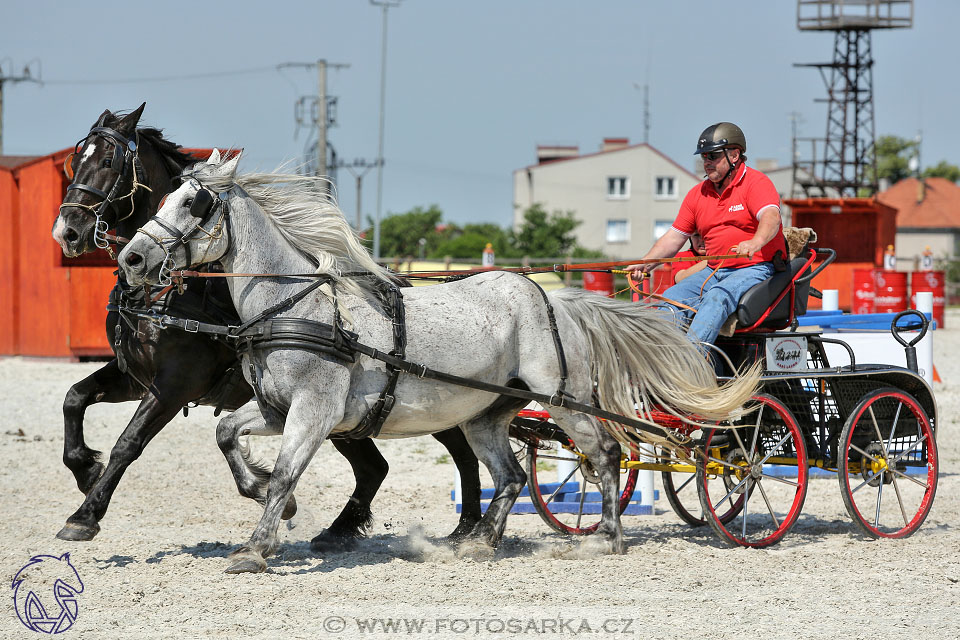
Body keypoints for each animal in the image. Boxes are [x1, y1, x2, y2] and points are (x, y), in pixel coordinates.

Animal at [49, 102, 484, 548]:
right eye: (74, 164)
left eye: (107, 162)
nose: (68, 232)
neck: (168, 292)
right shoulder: (133, 375)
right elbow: (74, 397)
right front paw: (84, 469)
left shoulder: (174, 384)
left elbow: (128, 443)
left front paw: (85, 515)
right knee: (374, 467)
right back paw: (342, 529)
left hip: (429, 403)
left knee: (460, 453)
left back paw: (467, 526)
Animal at [116, 151, 756, 576]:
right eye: (164, 197)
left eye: (193, 203)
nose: (132, 258)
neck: (298, 304)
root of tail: (555, 299)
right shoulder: (276, 408)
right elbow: (228, 435)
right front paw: (262, 496)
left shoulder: (313, 412)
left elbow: (287, 473)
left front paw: (257, 546)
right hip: (485, 415)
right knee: (511, 475)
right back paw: (479, 542)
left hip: (562, 399)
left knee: (603, 454)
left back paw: (607, 537)